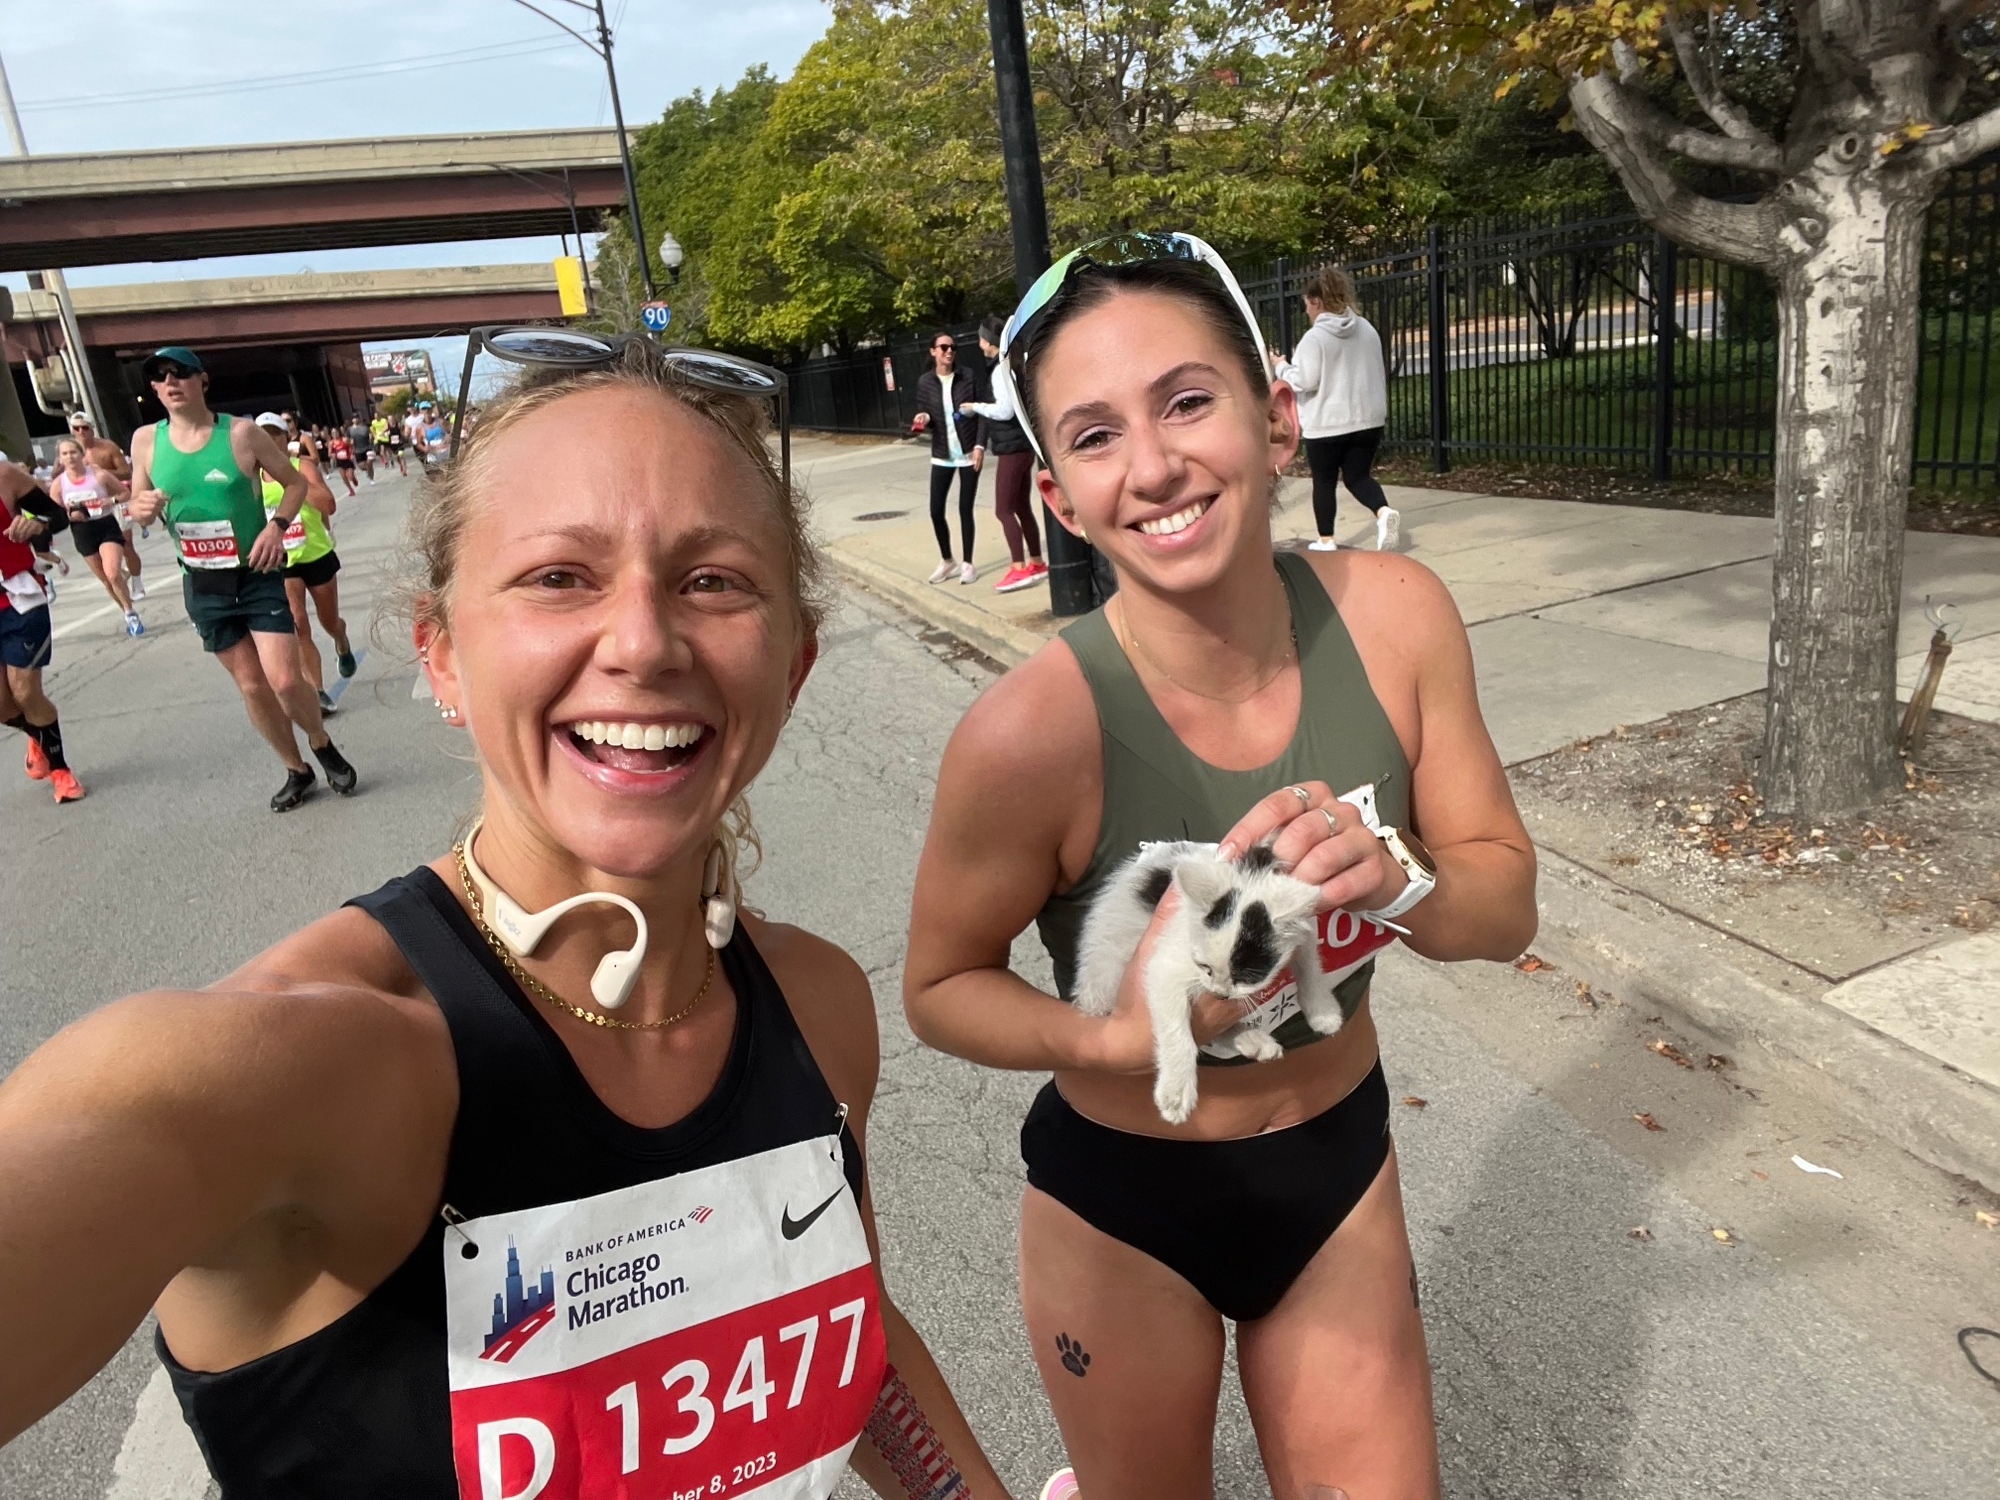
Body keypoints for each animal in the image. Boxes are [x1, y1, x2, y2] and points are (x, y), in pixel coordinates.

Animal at [1072, 840, 1336, 1120]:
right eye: (1204, 966)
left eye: (1247, 976)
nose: (1220, 994)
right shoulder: (1164, 965)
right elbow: (1176, 1028)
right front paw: (1176, 1092)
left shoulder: (1302, 927)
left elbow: (1309, 960)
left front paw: (1323, 1011)